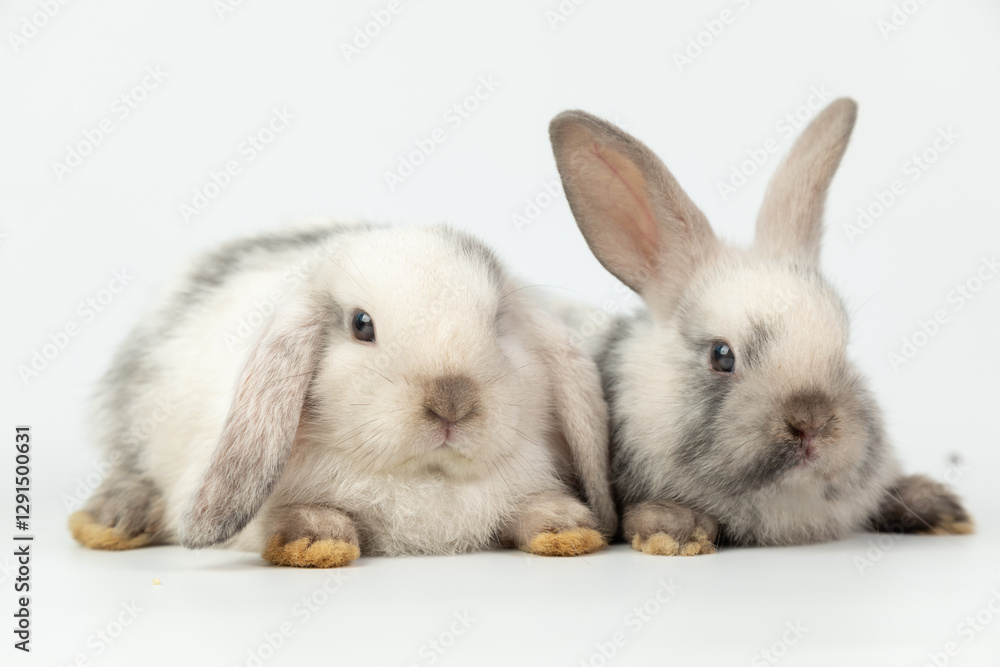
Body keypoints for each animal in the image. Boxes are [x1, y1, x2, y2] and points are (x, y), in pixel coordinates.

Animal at [68, 223, 617, 567]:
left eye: (499, 320)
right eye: (361, 324)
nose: (452, 402)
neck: (427, 480)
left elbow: (534, 507)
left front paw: (565, 530)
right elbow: (286, 516)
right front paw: (314, 542)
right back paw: (112, 522)